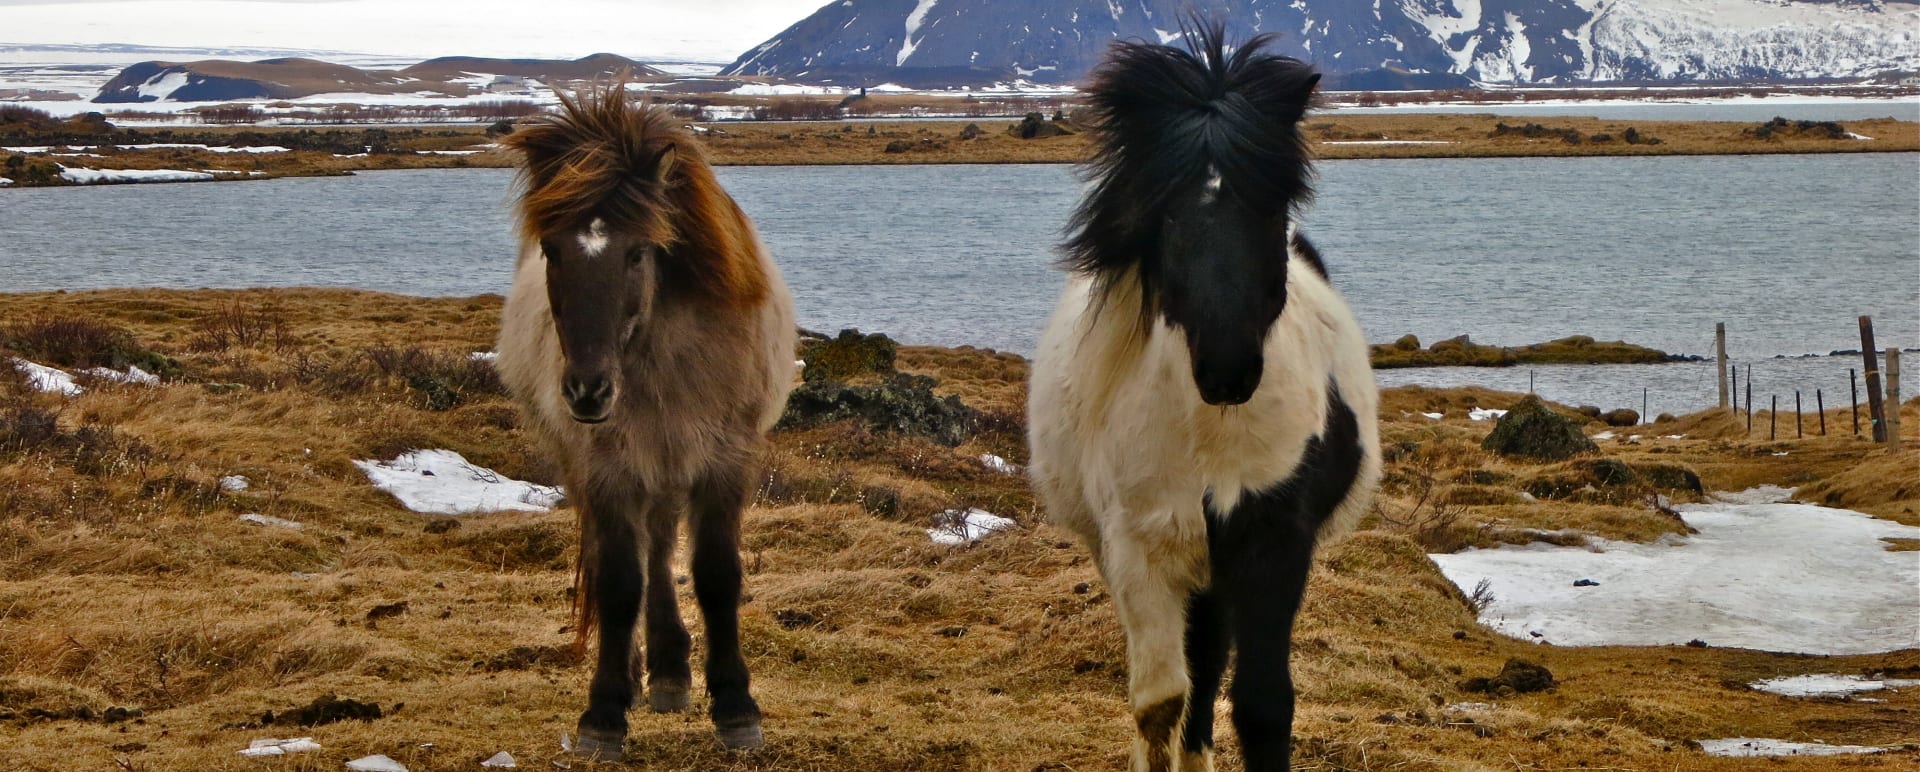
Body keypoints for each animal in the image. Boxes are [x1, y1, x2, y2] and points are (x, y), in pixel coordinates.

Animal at [495, 83, 796, 758]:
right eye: (551, 249)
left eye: (637, 251)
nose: (586, 390)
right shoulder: (607, 467)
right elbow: (617, 582)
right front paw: (604, 712)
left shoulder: (724, 458)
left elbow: (715, 574)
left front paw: (735, 706)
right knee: (635, 556)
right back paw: (642, 673)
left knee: (659, 546)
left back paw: (670, 673)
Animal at [1026, 23, 1381, 772]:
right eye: (1166, 215)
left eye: (1271, 206)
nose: (1228, 368)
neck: (1210, 432)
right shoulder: (1139, 549)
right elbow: (1159, 703)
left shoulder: (1274, 539)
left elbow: (1262, 705)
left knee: (1213, 662)